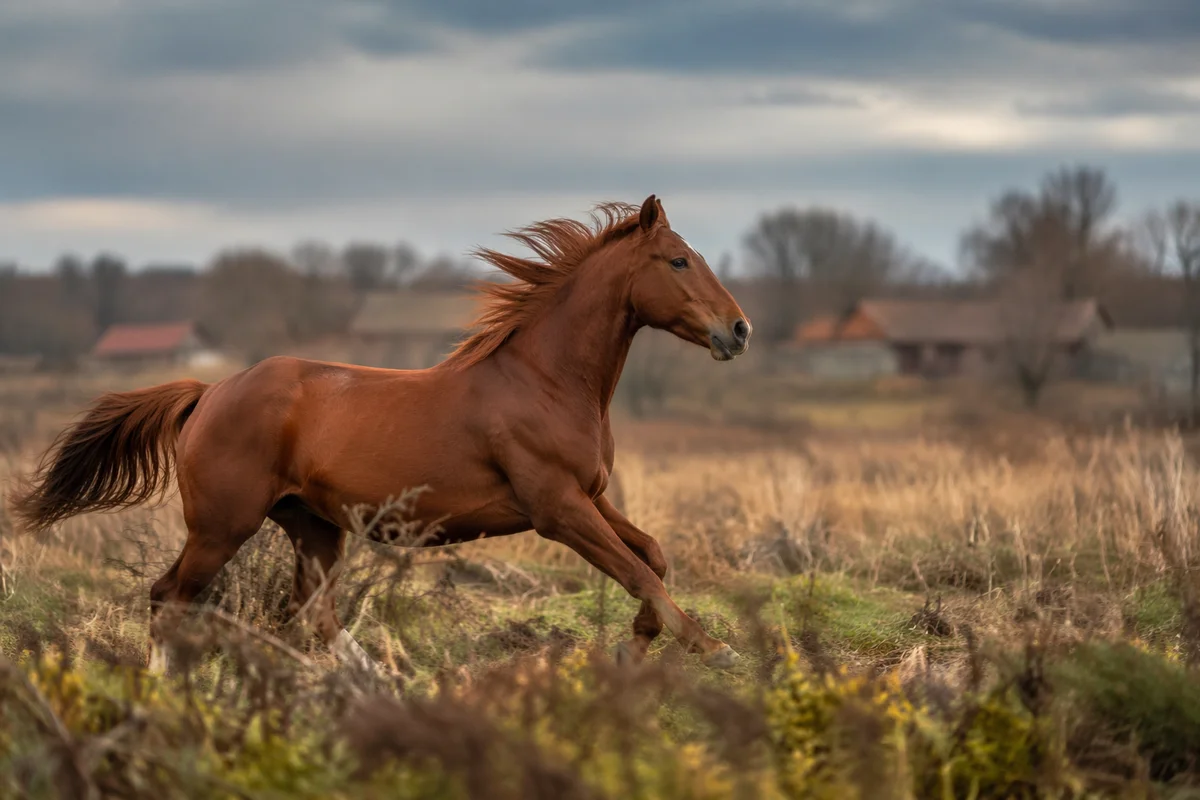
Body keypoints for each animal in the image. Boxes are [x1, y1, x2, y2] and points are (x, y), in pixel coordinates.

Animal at [9, 194, 753, 676]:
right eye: (678, 261)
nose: (739, 330)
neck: (546, 379)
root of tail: (209, 393)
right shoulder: (556, 507)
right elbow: (639, 572)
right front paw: (718, 649)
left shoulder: (590, 497)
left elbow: (652, 559)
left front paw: (637, 652)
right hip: (223, 525)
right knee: (170, 599)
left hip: (312, 526)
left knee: (310, 614)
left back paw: (372, 685)